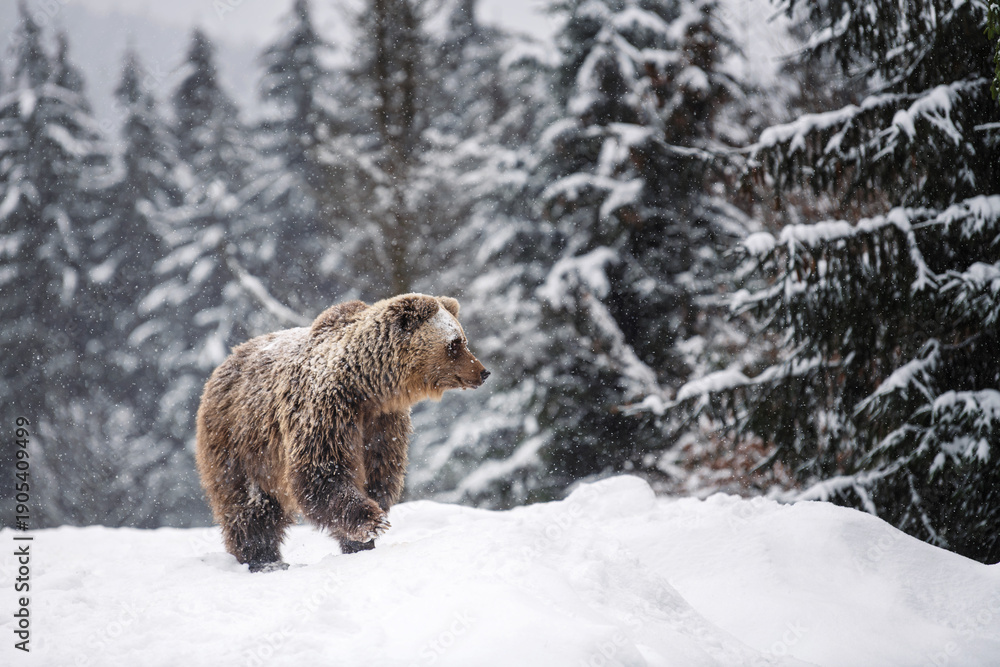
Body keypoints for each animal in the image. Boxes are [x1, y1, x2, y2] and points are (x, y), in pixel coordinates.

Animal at [195, 293, 489, 572]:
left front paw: (360, 540)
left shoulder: (382, 424)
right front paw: (372, 522)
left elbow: (378, 473)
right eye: (454, 344)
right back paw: (262, 560)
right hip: (239, 442)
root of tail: (224, 364)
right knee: (249, 504)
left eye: (462, 339)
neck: (366, 386)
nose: (483, 371)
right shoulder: (325, 410)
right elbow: (323, 470)